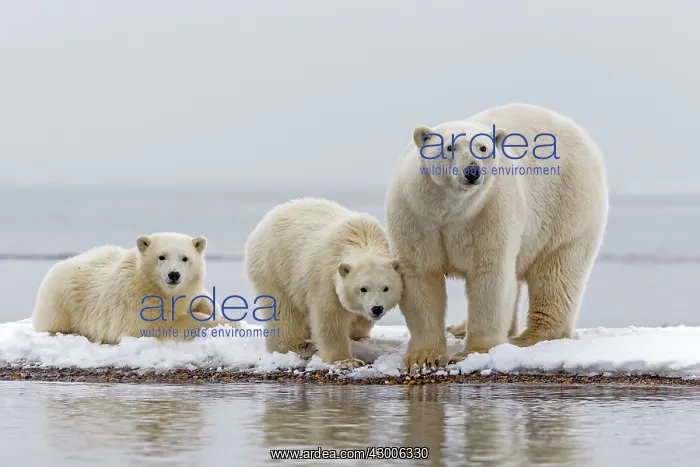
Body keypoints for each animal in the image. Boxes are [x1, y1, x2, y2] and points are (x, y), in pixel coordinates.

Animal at [32, 232, 235, 344]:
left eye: (185, 258)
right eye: (162, 257)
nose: (174, 275)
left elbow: (201, 301)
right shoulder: (139, 301)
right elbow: (165, 326)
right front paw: (228, 323)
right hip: (61, 300)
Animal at [243, 197, 404, 368]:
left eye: (386, 288)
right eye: (363, 288)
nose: (377, 308)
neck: (363, 237)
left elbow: (360, 318)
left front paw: (356, 335)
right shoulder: (325, 277)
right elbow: (330, 318)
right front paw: (346, 360)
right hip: (274, 268)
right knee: (282, 309)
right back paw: (296, 345)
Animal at [385, 103, 608, 372]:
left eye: (482, 148)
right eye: (450, 147)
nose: (472, 171)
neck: (450, 210)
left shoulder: (488, 210)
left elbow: (490, 274)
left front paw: (475, 351)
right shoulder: (415, 215)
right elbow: (421, 275)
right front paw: (423, 359)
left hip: (568, 206)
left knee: (556, 272)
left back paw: (528, 337)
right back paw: (460, 328)